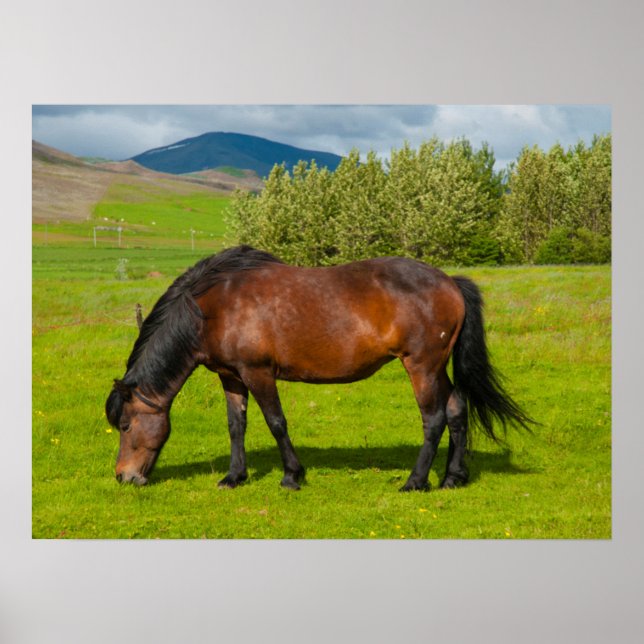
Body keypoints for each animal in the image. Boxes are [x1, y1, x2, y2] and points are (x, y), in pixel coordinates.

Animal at [106, 245, 532, 491]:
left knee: (434, 418)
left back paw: (415, 482)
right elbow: (236, 426)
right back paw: (452, 478)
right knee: (457, 408)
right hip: (437, 368)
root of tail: (450, 282)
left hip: (422, 367)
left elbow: (276, 423)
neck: (214, 307)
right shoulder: (231, 377)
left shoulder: (258, 373)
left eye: (125, 425)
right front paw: (234, 476)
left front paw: (292, 476)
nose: (124, 476)